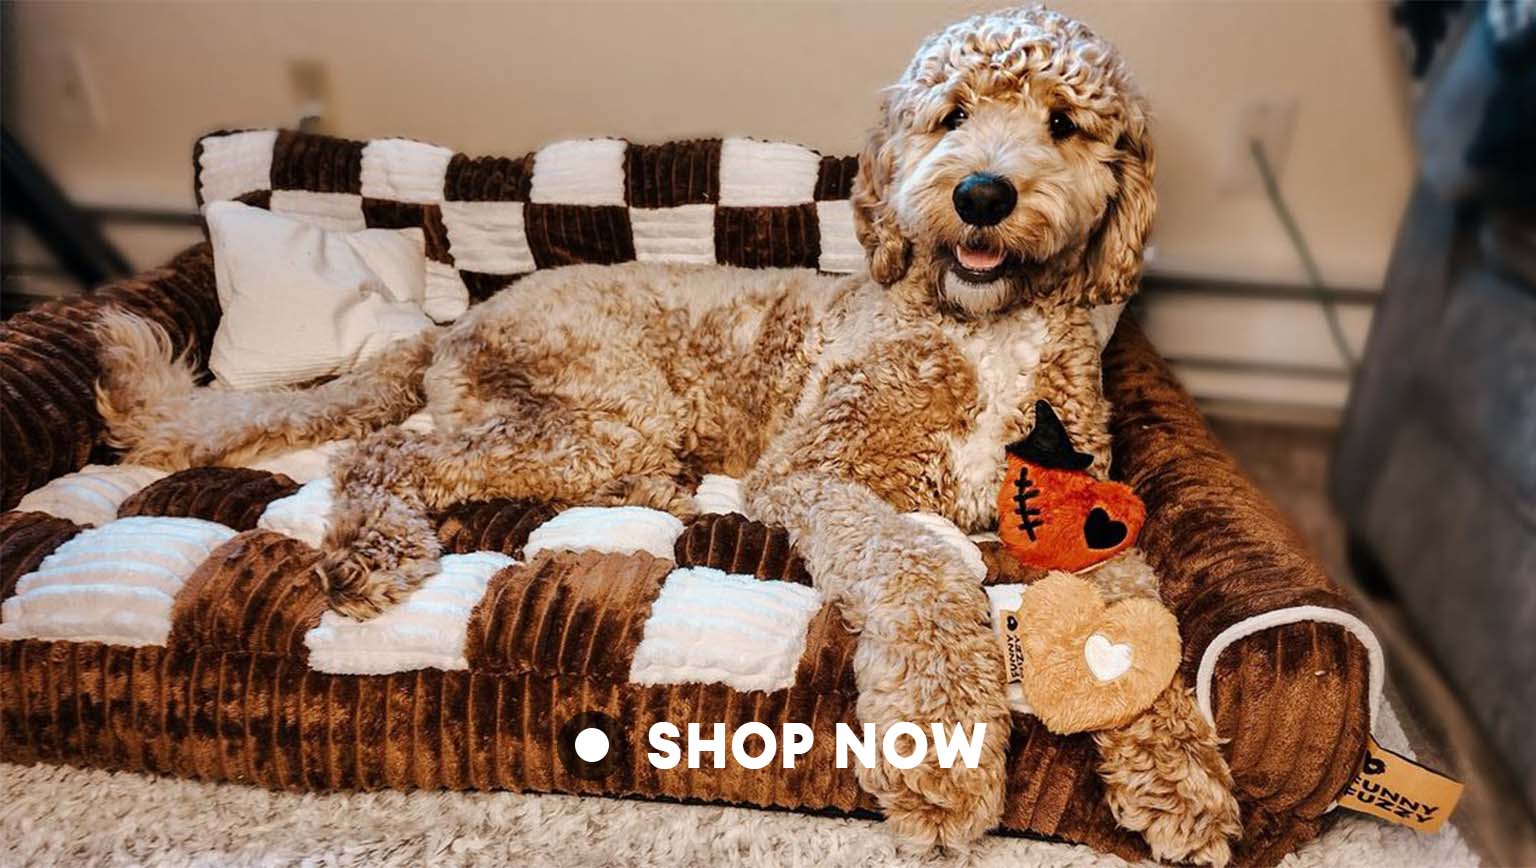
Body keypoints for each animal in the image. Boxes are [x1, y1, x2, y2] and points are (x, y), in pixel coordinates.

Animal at [97, 6, 1241, 862]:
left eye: (1063, 123)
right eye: (951, 114)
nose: (982, 192)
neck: (982, 328)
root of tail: (453, 323)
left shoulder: (1089, 517)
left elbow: (1141, 623)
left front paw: (1183, 778)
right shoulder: (818, 472)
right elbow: (919, 570)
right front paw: (942, 756)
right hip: (602, 412)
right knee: (385, 454)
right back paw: (373, 549)